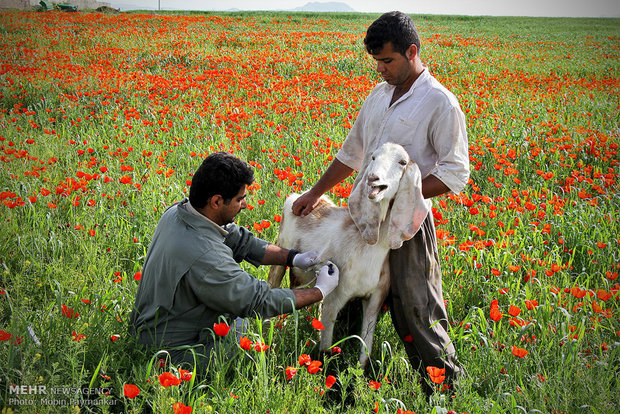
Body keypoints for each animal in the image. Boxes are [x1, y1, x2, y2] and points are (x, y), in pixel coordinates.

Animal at [268, 142, 428, 366]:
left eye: (402, 162)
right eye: (373, 157)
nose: (373, 179)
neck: (369, 249)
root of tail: (299, 195)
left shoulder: (374, 300)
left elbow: (365, 352)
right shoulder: (334, 299)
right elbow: (326, 352)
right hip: (279, 255)